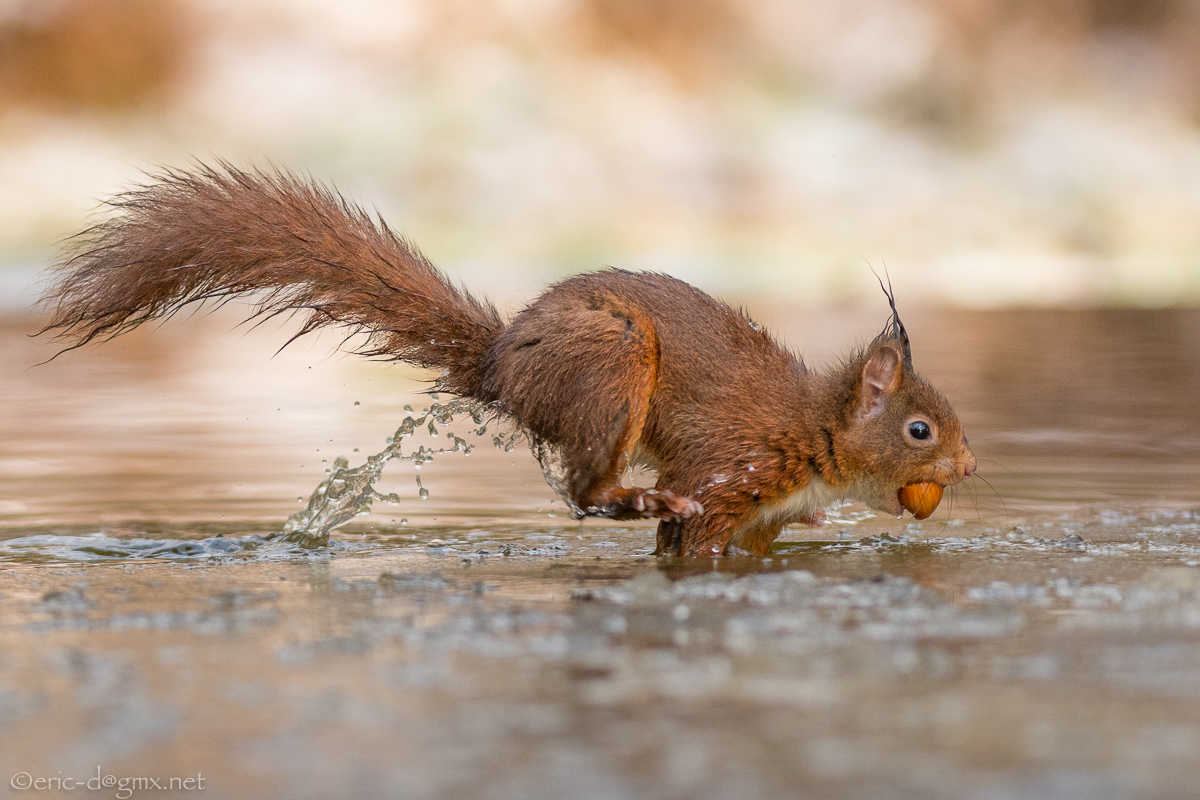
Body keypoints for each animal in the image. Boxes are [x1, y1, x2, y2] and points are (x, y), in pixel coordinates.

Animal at [39, 164, 974, 556]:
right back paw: (636, 494)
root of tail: (499, 364)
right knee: (585, 493)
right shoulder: (730, 471)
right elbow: (687, 538)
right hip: (613, 362)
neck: (815, 433)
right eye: (920, 430)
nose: (970, 466)